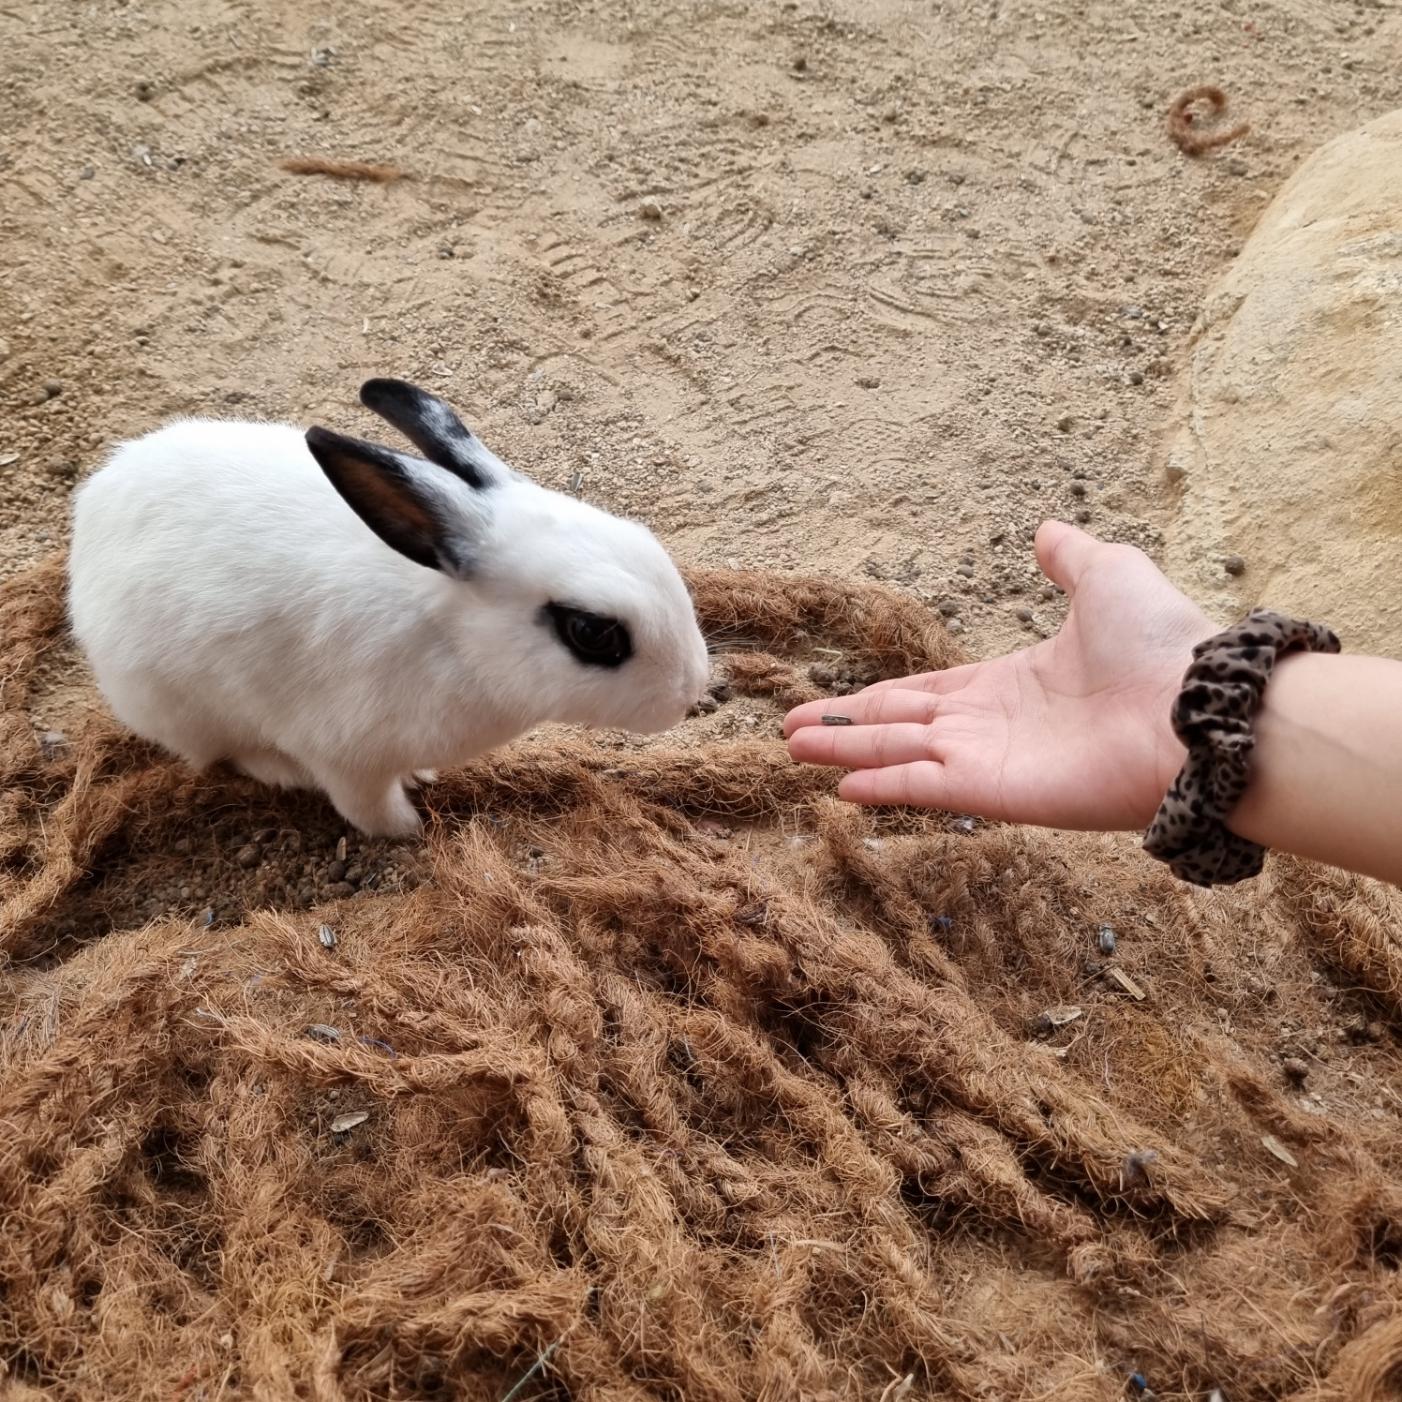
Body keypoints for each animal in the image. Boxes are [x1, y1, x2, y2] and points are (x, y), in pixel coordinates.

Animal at [68, 377, 712, 838]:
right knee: (227, 753)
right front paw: (412, 832)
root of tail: (92, 516)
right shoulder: (348, 758)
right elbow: (369, 811)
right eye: (591, 632)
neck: (452, 640)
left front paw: (422, 777)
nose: (690, 692)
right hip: (184, 706)